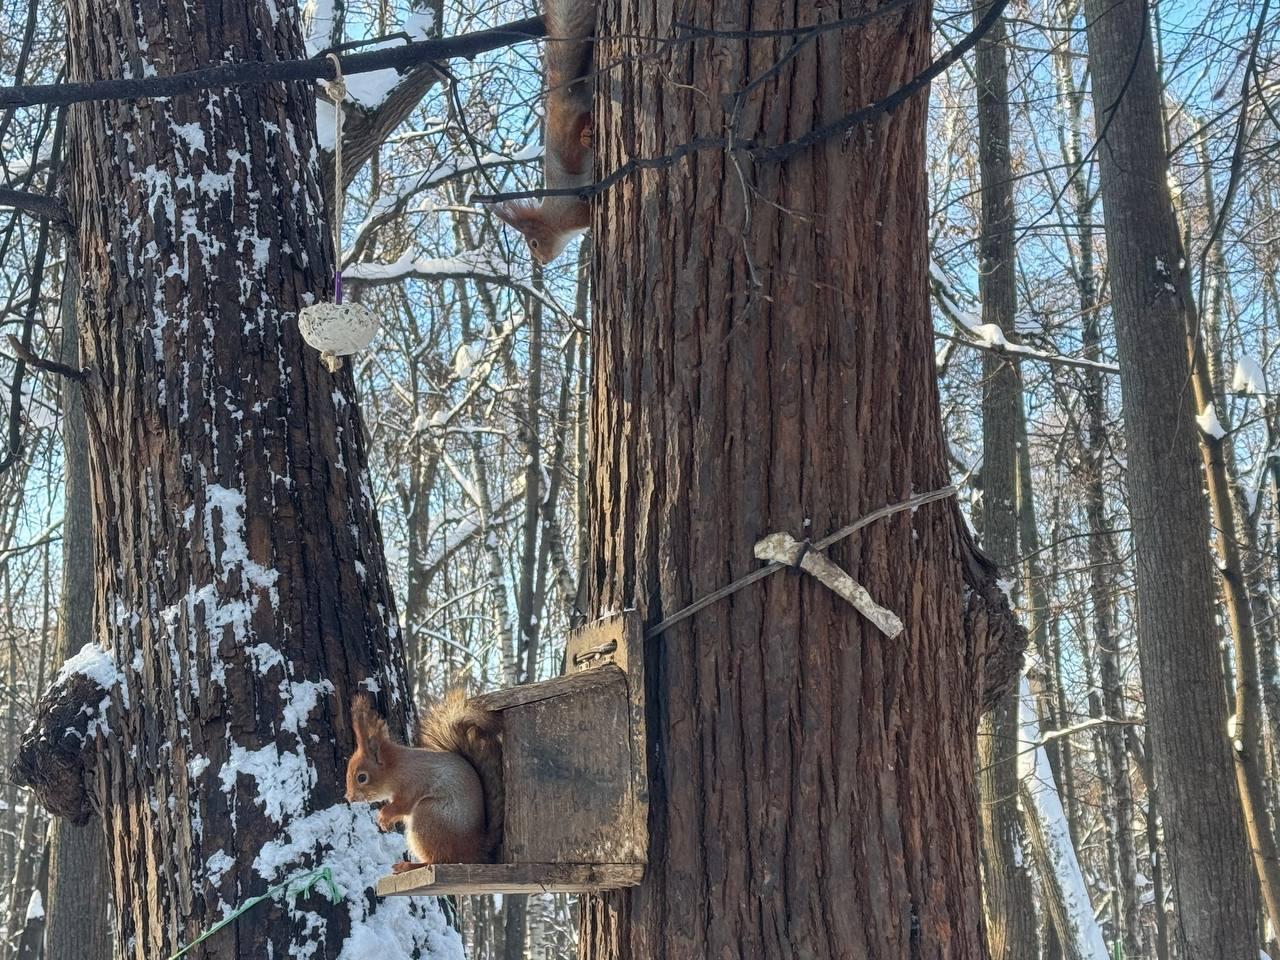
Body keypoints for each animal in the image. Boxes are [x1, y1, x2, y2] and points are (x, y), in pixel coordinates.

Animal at [345, 691, 504, 874]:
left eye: (362, 777)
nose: (349, 797)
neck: (396, 767)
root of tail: (475, 849)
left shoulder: (412, 783)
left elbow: (403, 805)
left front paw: (383, 817)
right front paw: (386, 823)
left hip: (427, 816)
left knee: (438, 860)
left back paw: (409, 865)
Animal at [491, 0, 596, 264]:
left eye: (534, 243)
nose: (541, 261)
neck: (552, 219)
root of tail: (560, 98)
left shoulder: (571, 212)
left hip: (567, 139)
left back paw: (586, 136)